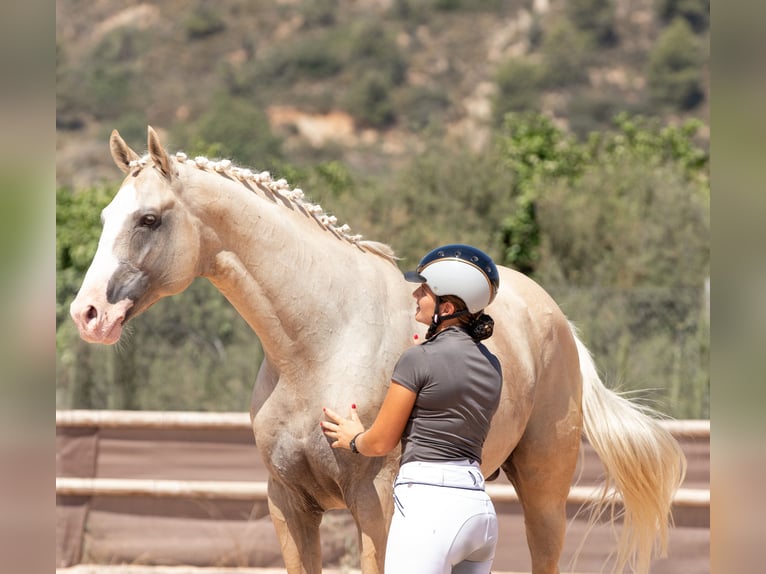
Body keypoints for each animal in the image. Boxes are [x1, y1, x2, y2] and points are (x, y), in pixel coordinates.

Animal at [69, 128, 688, 572]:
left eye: (149, 219)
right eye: (104, 217)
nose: (88, 313)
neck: (318, 344)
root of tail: (556, 319)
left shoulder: (377, 506)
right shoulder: (288, 504)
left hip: (543, 494)